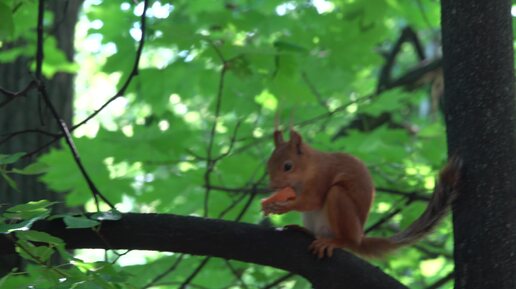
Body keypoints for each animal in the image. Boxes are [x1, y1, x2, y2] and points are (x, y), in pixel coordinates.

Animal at [264, 129, 462, 258]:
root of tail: (359, 237)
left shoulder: (322, 178)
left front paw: (282, 206)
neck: (309, 167)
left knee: (347, 239)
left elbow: (312, 201)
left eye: (288, 166)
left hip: (339, 202)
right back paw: (304, 230)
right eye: (268, 164)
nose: (272, 185)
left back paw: (336, 242)